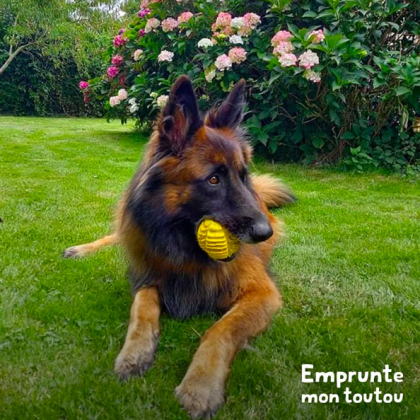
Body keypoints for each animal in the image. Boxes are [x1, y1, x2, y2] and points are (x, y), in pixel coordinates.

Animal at [65, 77, 296, 418]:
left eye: (243, 176)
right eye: (213, 180)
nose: (263, 233)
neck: (185, 246)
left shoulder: (261, 294)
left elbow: (221, 330)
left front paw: (200, 385)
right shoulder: (147, 274)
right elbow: (142, 309)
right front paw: (134, 352)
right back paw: (81, 249)